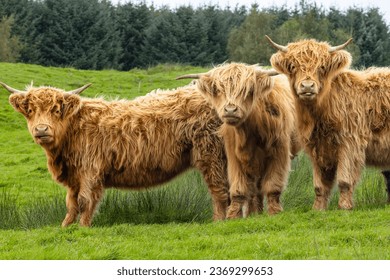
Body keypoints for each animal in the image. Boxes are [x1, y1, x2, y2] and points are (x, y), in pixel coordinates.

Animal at [1, 82, 230, 226]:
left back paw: (219, 221)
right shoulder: (74, 176)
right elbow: (71, 203)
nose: (41, 130)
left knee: (219, 189)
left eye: (56, 110)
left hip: (211, 154)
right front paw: (65, 226)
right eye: (30, 111)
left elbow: (84, 201)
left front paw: (83, 227)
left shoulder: (90, 170)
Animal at [178, 62, 300, 218]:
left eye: (248, 90)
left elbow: (273, 186)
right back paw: (254, 213)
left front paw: (274, 212)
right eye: (219, 90)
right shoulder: (234, 156)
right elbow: (238, 188)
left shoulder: (280, 152)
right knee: (255, 189)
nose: (230, 110)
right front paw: (233, 216)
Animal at [268, 35, 390, 208]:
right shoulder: (318, 147)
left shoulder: (350, 144)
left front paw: (345, 206)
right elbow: (320, 186)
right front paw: (318, 208)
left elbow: (344, 181)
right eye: (293, 66)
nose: (307, 86)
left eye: (322, 67)